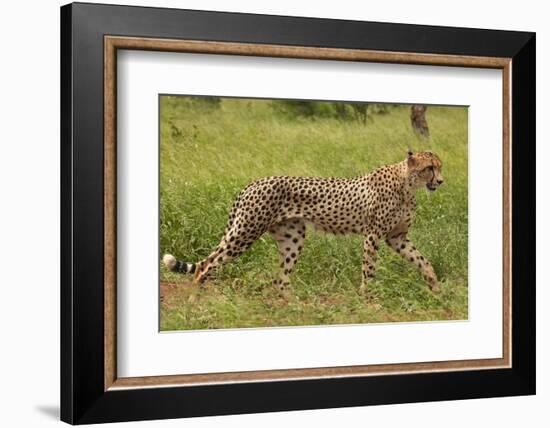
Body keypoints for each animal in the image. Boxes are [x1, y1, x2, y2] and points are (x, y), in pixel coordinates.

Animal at [163, 150, 444, 294]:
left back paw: (293, 306)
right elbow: (369, 268)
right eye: (430, 168)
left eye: (439, 167)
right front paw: (368, 297)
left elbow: (422, 260)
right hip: (245, 232)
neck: (408, 184)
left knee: (281, 280)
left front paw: (434, 286)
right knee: (205, 265)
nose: (441, 181)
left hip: (292, 238)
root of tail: (253, 183)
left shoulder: (397, 237)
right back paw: (196, 298)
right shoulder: (373, 235)